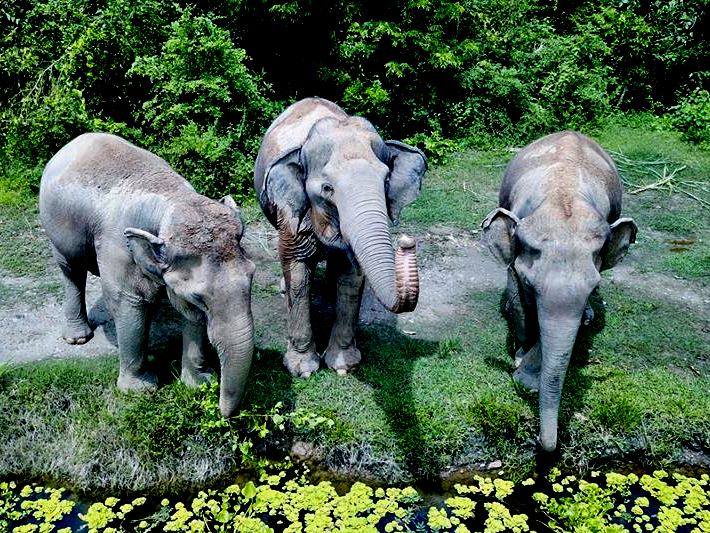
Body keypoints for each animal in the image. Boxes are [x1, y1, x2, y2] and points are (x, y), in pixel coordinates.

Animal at [39, 132, 256, 416]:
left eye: (252, 276)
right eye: (199, 297)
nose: (225, 414)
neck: (171, 200)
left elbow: (190, 316)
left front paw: (199, 383)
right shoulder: (118, 246)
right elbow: (130, 301)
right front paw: (140, 390)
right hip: (56, 227)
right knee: (72, 270)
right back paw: (78, 338)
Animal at [253, 96, 426, 378]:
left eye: (386, 180)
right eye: (327, 188)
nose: (406, 242)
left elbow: (351, 276)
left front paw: (344, 366)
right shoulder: (292, 217)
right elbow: (298, 274)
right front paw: (303, 369)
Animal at [484, 131, 640, 450]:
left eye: (594, 286)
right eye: (530, 285)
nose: (539, 441)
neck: (562, 198)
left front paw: (527, 377)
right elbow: (518, 301)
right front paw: (520, 358)